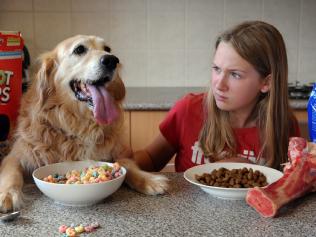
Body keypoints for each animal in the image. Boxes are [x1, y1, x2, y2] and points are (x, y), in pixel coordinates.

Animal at [0, 34, 169, 212]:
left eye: (107, 49)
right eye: (79, 49)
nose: (112, 60)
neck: (78, 124)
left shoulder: (119, 152)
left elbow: (126, 164)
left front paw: (149, 180)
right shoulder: (17, 155)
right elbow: (11, 173)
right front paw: (7, 194)